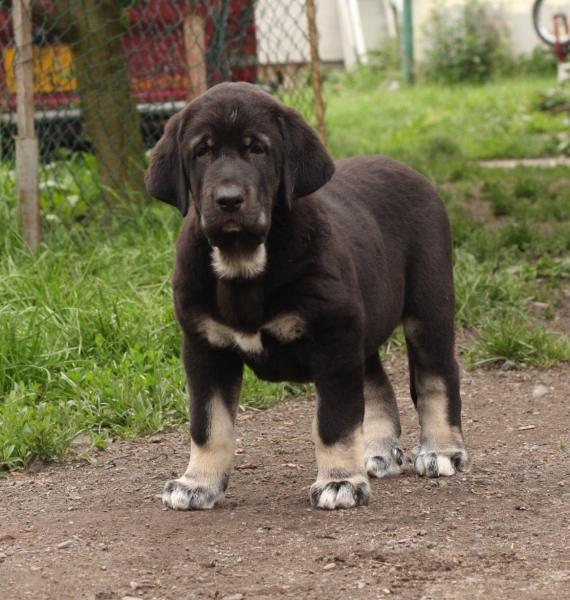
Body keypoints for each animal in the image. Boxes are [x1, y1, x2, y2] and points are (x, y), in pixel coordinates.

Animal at [146, 81, 470, 510]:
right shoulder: (205, 347)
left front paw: (339, 480)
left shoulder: (333, 337)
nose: (228, 199)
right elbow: (208, 424)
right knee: (376, 380)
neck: (244, 262)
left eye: (258, 149)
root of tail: (411, 171)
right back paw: (380, 449)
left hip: (428, 306)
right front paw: (198, 483)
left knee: (438, 374)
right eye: (202, 152)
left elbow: (335, 420)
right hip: (363, 320)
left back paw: (441, 449)